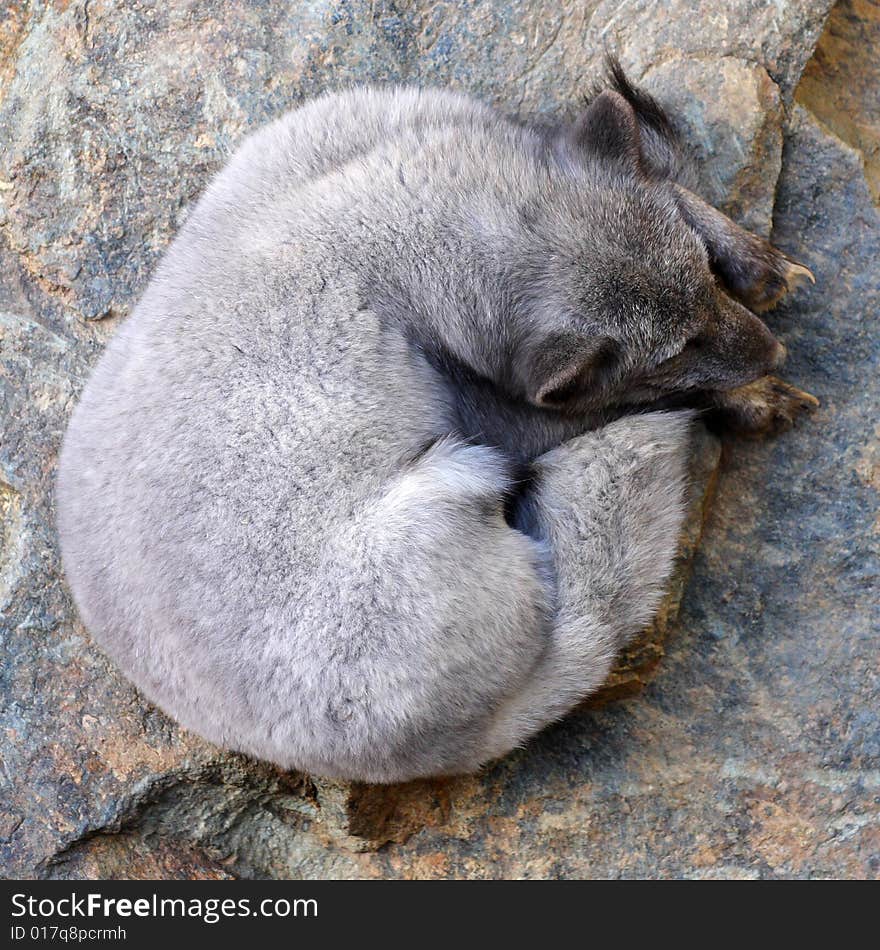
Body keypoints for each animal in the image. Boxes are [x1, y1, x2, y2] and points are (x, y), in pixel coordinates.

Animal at [56, 65, 820, 780]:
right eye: (676, 352)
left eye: (702, 278)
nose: (773, 351)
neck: (384, 237)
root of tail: (454, 745)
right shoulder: (505, 413)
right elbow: (640, 403)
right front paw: (752, 396)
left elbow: (667, 185)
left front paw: (756, 259)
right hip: (461, 474)